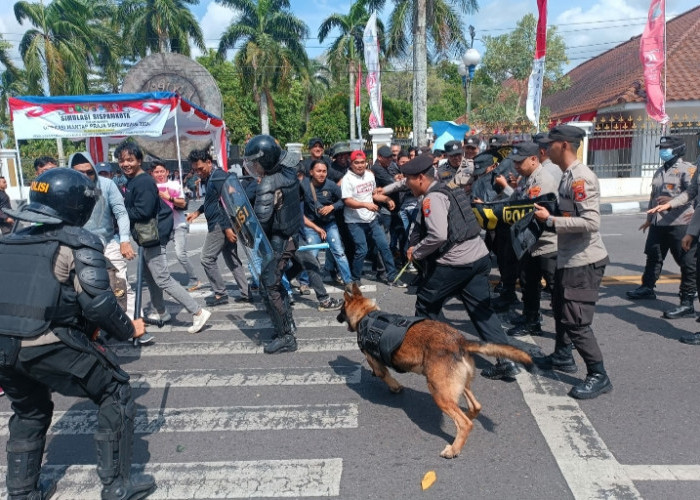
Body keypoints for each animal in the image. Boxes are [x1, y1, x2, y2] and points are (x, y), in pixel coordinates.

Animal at [338, 284, 532, 458]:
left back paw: (454, 449)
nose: (337, 318)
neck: (366, 314)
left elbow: (384, 375)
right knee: (475, 407)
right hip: (457, 386)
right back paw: (467, 418)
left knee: (464, 424)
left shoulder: (375, 362)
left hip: (439, 392)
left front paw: (394, 387)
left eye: (341, 307)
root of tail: (459, 341)